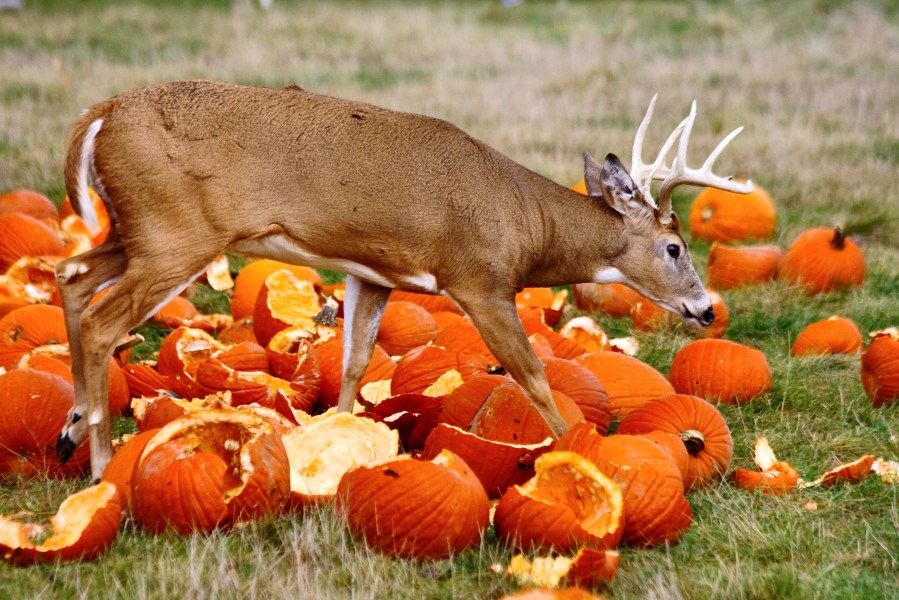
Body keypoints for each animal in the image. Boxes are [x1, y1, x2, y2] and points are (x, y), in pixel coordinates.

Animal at [54, 82, 752, 480]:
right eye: (674, 246)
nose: (705, 310)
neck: (526, 223)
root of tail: (100, 113)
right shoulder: (479, 280)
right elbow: (532, 373)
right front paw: (575, 450)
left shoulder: (374, 274)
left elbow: (354, 363)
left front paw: (336, 446)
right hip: (175, 234)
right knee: (100, 317)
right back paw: (98, 465)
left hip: (136, 231)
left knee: (70, 273)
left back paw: (69, 430)